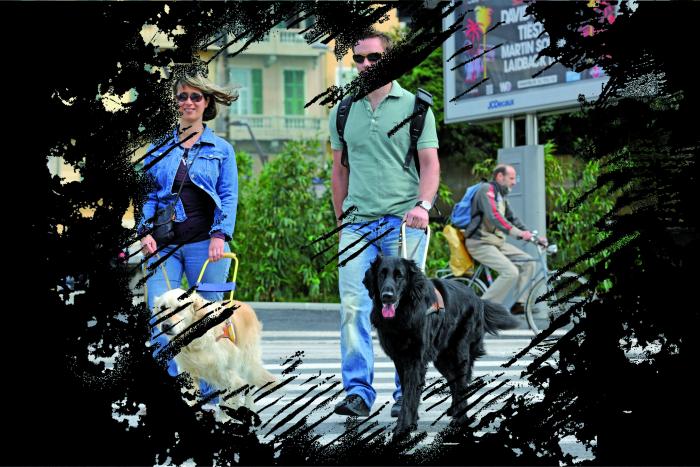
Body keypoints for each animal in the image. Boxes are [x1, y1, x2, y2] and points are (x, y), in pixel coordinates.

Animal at [364, 254, 516, 436]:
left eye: (399, 275)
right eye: (381, 274)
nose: (387, 295)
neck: (404, 313)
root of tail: (479, 298)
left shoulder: (415, 360)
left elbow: (410, 394)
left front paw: (402, 427)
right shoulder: (400, 360)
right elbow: (409, 393)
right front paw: (411, 423)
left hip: (459, 353)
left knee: (461, 383)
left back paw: (461, 418)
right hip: (442, 357)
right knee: (454, 382)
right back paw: (455, 410)